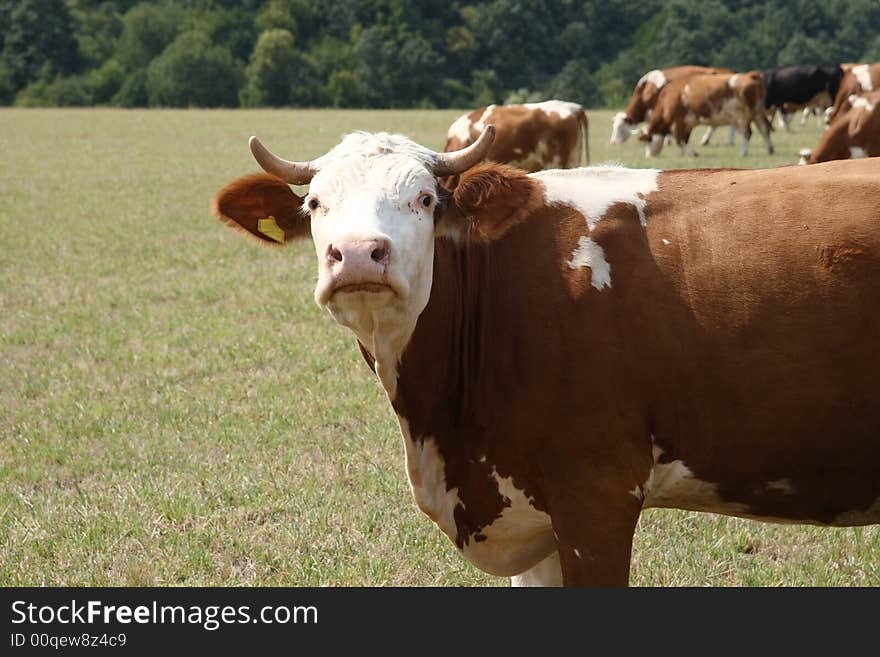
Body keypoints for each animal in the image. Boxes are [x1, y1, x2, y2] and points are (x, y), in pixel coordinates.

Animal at [640, 70, 768, 156]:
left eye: (648, 140)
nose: (648, 155)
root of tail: (750, 75)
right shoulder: (688, 123)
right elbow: (685, 139)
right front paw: (685, 153)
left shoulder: (678, 121)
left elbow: (679, 140)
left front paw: (692, 154)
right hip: (757, 113)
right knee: (764, 129)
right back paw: (769, 150)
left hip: (742, 116)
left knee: (747, 133)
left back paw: (743, 152)